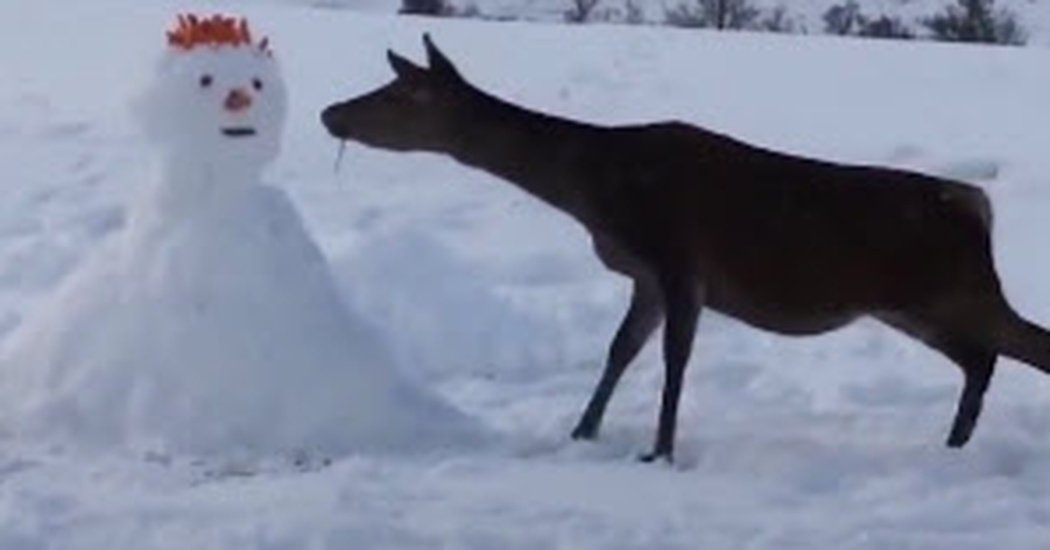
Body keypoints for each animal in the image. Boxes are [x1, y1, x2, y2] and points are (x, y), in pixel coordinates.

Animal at [320, 34, 1050, 462]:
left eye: (402, 93)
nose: (331, 114)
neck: (597, 193)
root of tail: (977, 208)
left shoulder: (680, 259)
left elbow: (675, 359)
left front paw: (660, 451)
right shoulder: (643, 272)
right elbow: (620, 350)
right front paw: (582, 432)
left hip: (955, 288)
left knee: (1020, 346)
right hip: (912, 304)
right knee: (980, 359)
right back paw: (953, 444)